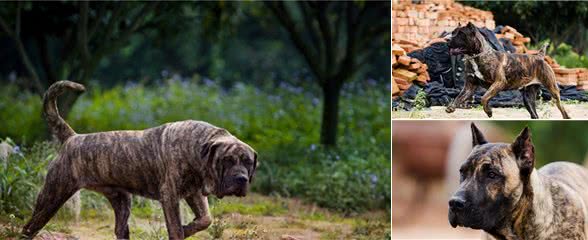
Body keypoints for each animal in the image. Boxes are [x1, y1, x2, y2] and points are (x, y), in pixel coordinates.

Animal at [23, 81, 258, 240]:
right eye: (227, 160)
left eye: (248, 162)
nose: (241, 179)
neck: (197, 148)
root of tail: (73, 138)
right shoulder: (170, 195)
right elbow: (175, 227)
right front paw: (181, 230)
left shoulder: (194, 193)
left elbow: (205, 219)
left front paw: (188, 228)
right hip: (52, 196)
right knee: (29, 228)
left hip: (122, 202)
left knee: (120, 229)